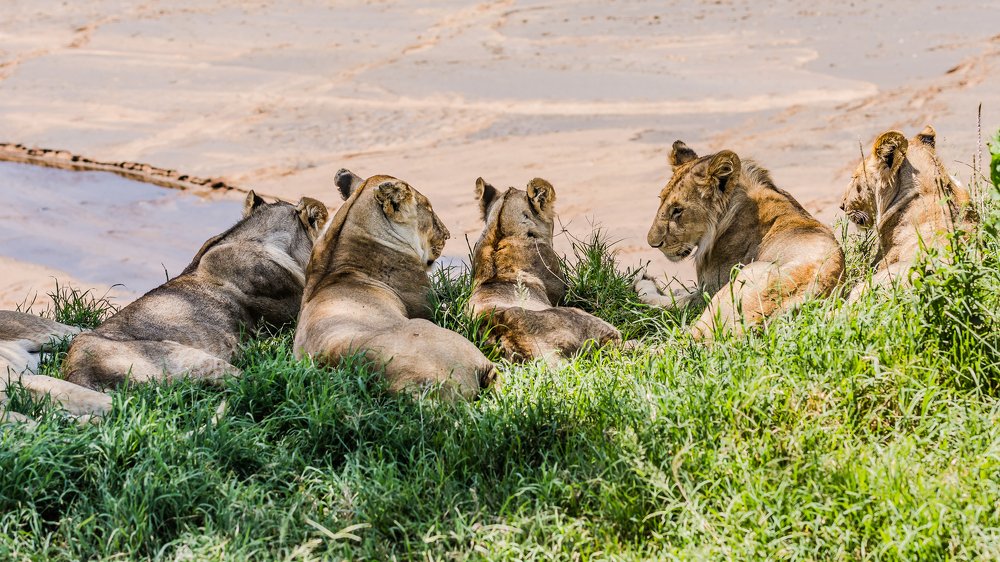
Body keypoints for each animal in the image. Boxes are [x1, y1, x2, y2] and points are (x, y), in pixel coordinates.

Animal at [634, 141, 845, 340]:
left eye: (677, 210)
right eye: (661, 199)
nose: (652, 243)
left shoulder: (707, 292)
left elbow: (674, 302)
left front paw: (644, 284)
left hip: (739, 281)